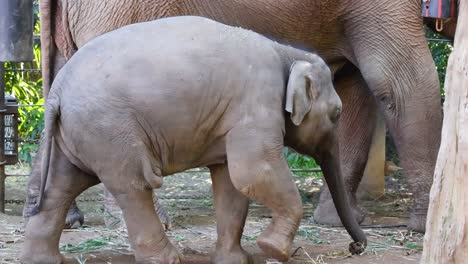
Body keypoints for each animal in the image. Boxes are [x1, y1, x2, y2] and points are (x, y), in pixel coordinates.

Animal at [21, 16, 366, 262]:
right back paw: (167, 259)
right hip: (108, 129)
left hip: (76, 133)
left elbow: (231, 182)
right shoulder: (256, 101)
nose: (356, 248)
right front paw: (274, 251)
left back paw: (45, 260)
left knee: (60, 185)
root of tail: (57, 90)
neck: (287, 52)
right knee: (134, 186)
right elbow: (255, 172)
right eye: (336, 113)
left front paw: (236, 260)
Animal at [25, 0, 442, 233]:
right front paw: (424, 226)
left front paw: (336, 220)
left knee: (58, 88)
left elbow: (358, 88)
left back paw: (55, 217)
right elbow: (399, 80)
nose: (360, 248)